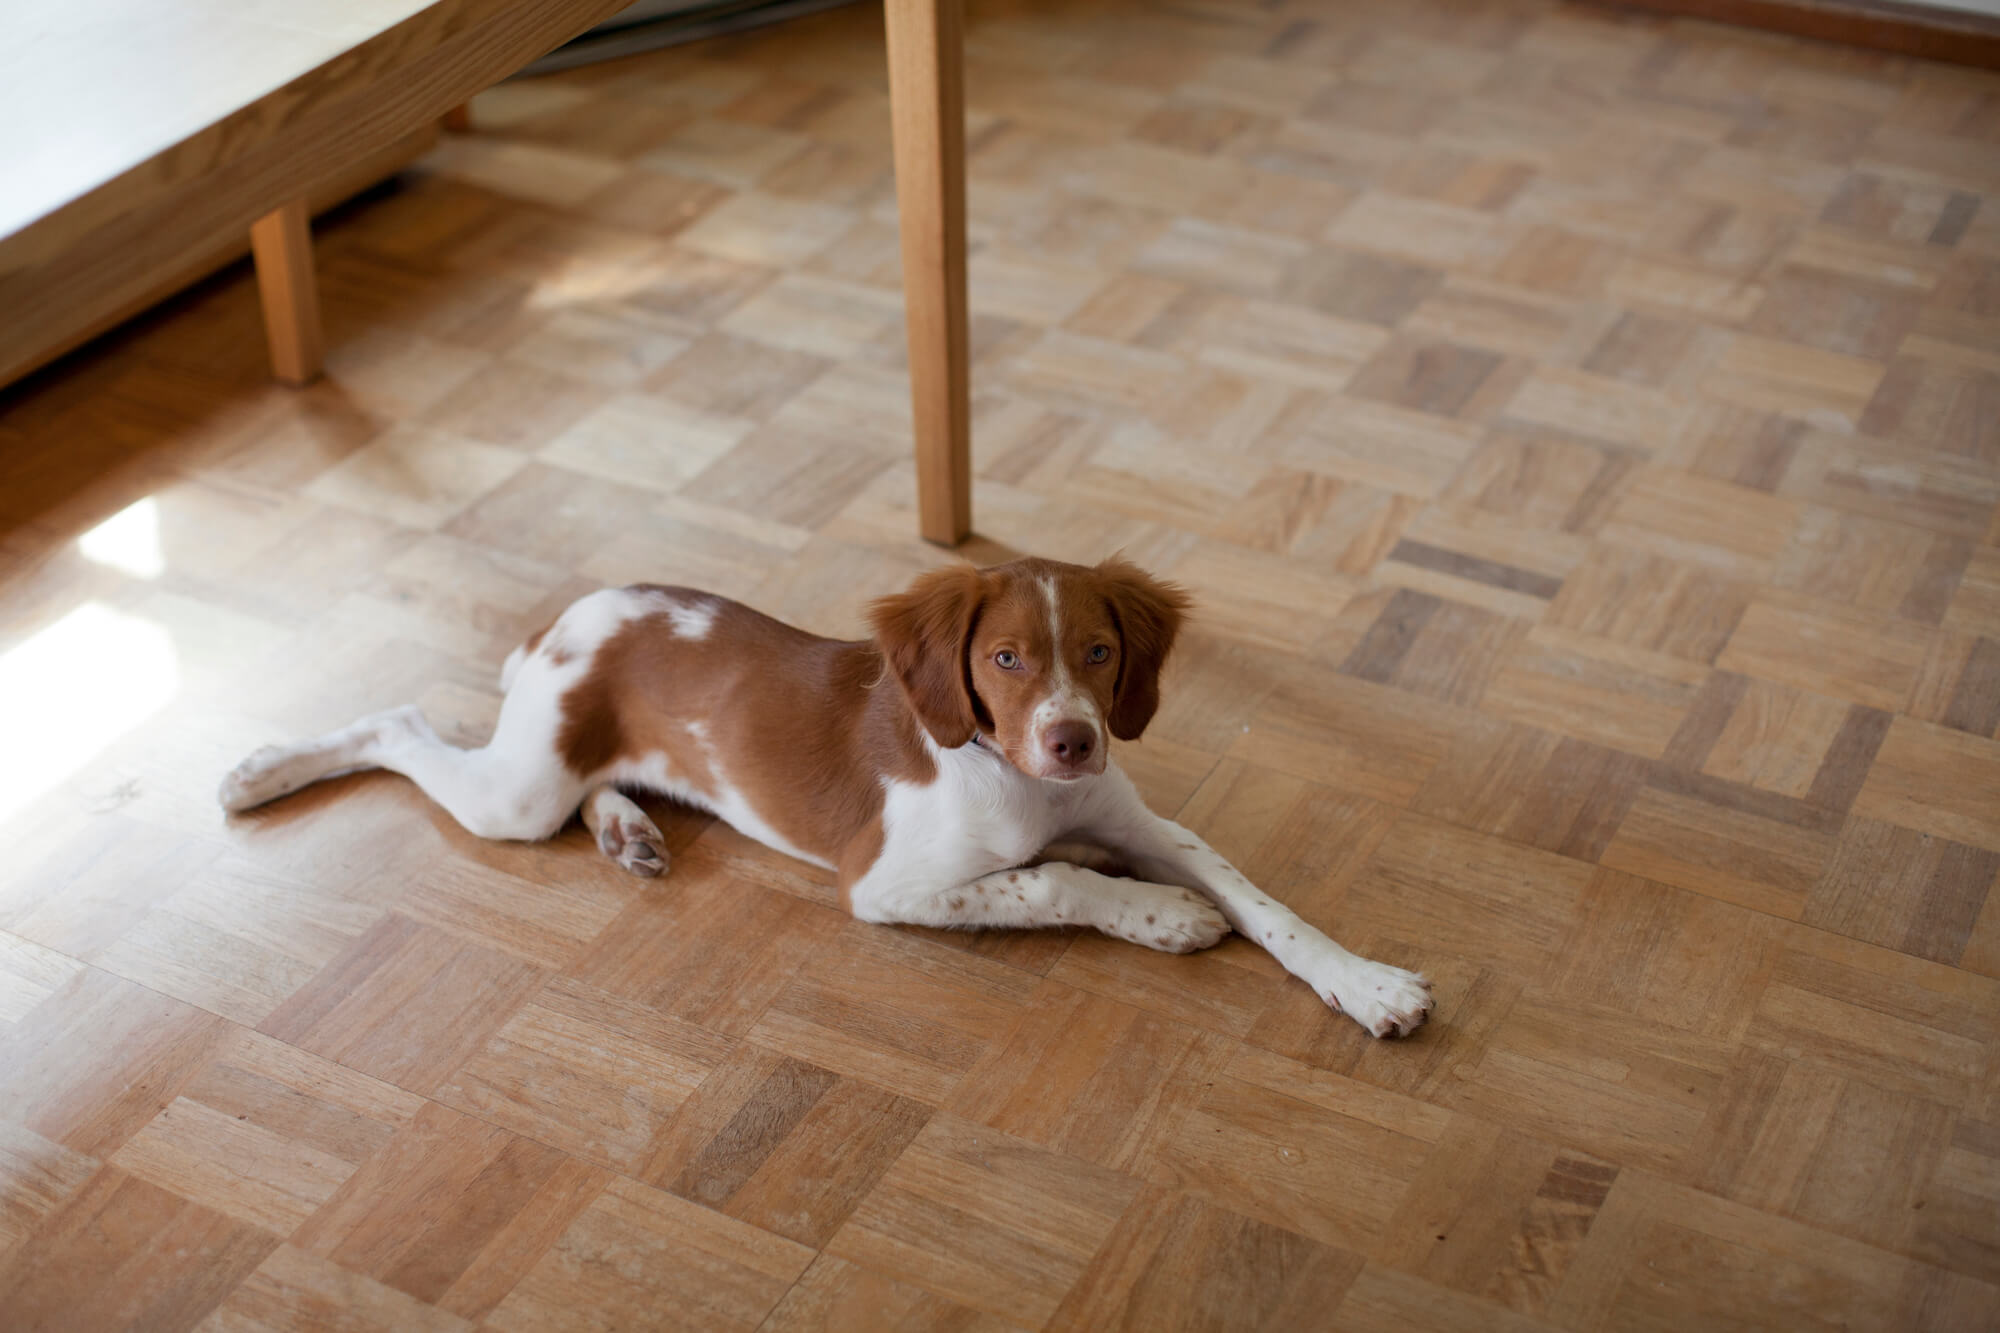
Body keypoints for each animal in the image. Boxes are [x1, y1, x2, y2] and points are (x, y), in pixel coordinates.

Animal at [219, 556, 1432, 1032]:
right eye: (1003, 660)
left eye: (1096, 652)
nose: (1074, 740)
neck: (1018, 781)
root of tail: (573, 613)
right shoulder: (884, 886)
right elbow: (1048, 884)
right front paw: (1164, 917)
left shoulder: (1144, 823)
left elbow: (1265, 902)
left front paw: (1367, 984)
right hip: (516, 788)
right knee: (400, 724)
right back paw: (258, 768)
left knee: (588, 789)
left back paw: (628, 832)